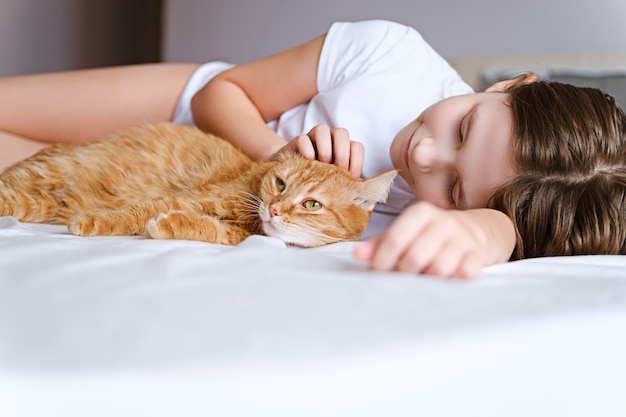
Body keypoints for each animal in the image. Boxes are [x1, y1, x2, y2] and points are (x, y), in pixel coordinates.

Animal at [0, 123, 394, 247]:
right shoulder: (196, 197)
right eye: (280, 183)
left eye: (312, 204)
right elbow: (136, 212)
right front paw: (98, 221)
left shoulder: (233, 235)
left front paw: (169, 226)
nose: (274, 209)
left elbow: (209, 230)